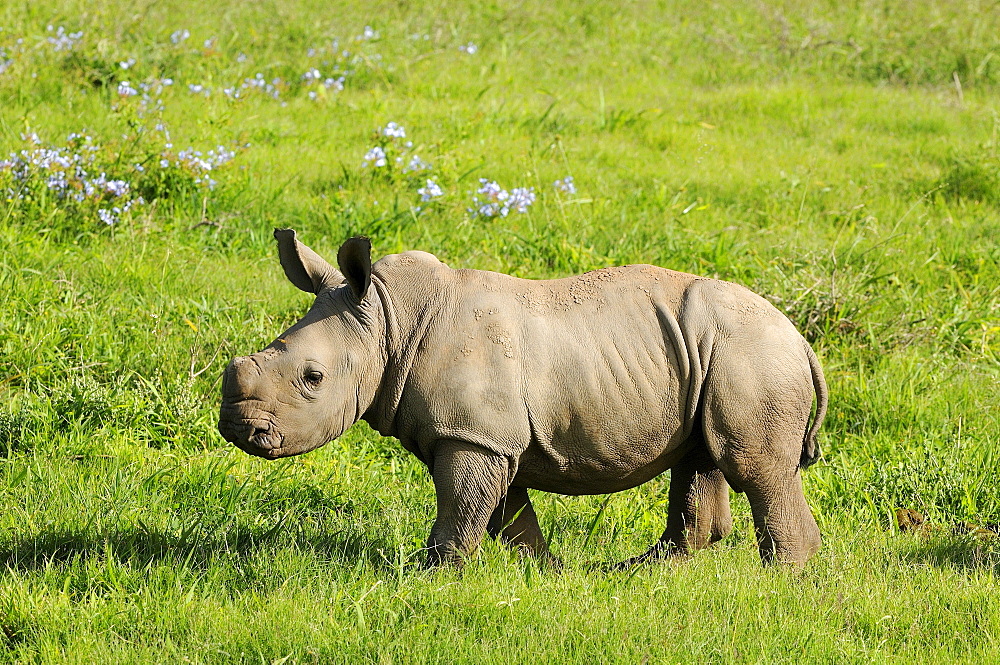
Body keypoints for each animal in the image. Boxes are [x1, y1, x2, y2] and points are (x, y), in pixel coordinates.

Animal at [219, 231, 828, 568]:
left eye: (313, 378)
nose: (240, 429)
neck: (388, 319)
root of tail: (800, 337)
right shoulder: (486, 434)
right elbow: (504, 512)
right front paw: (544, 571)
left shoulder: (472, 435)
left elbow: (462, 508)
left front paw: (428, 574)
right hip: (713, 352)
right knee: (701, 457)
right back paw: (644, 572)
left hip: (751, 353)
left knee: (754, 467)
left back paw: (783, 581)